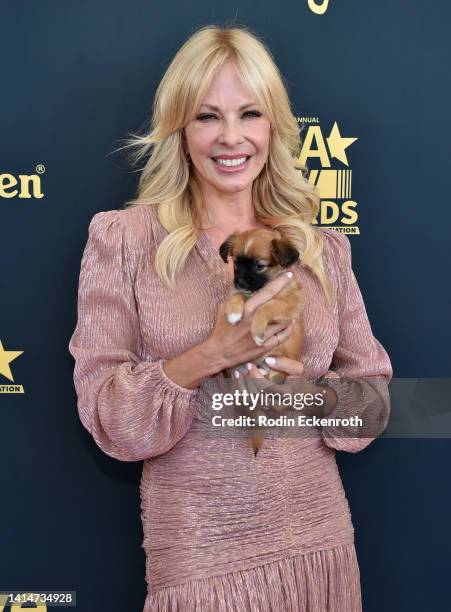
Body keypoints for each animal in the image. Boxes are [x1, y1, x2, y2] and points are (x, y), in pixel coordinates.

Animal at [218, 228, 306, 454]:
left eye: (259, 266)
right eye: (236, 263)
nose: (240, 282)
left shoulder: (289, 304)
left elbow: (267, 306)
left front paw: (257, 331)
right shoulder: (241, 293)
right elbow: (236, 296)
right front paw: (233, 312)